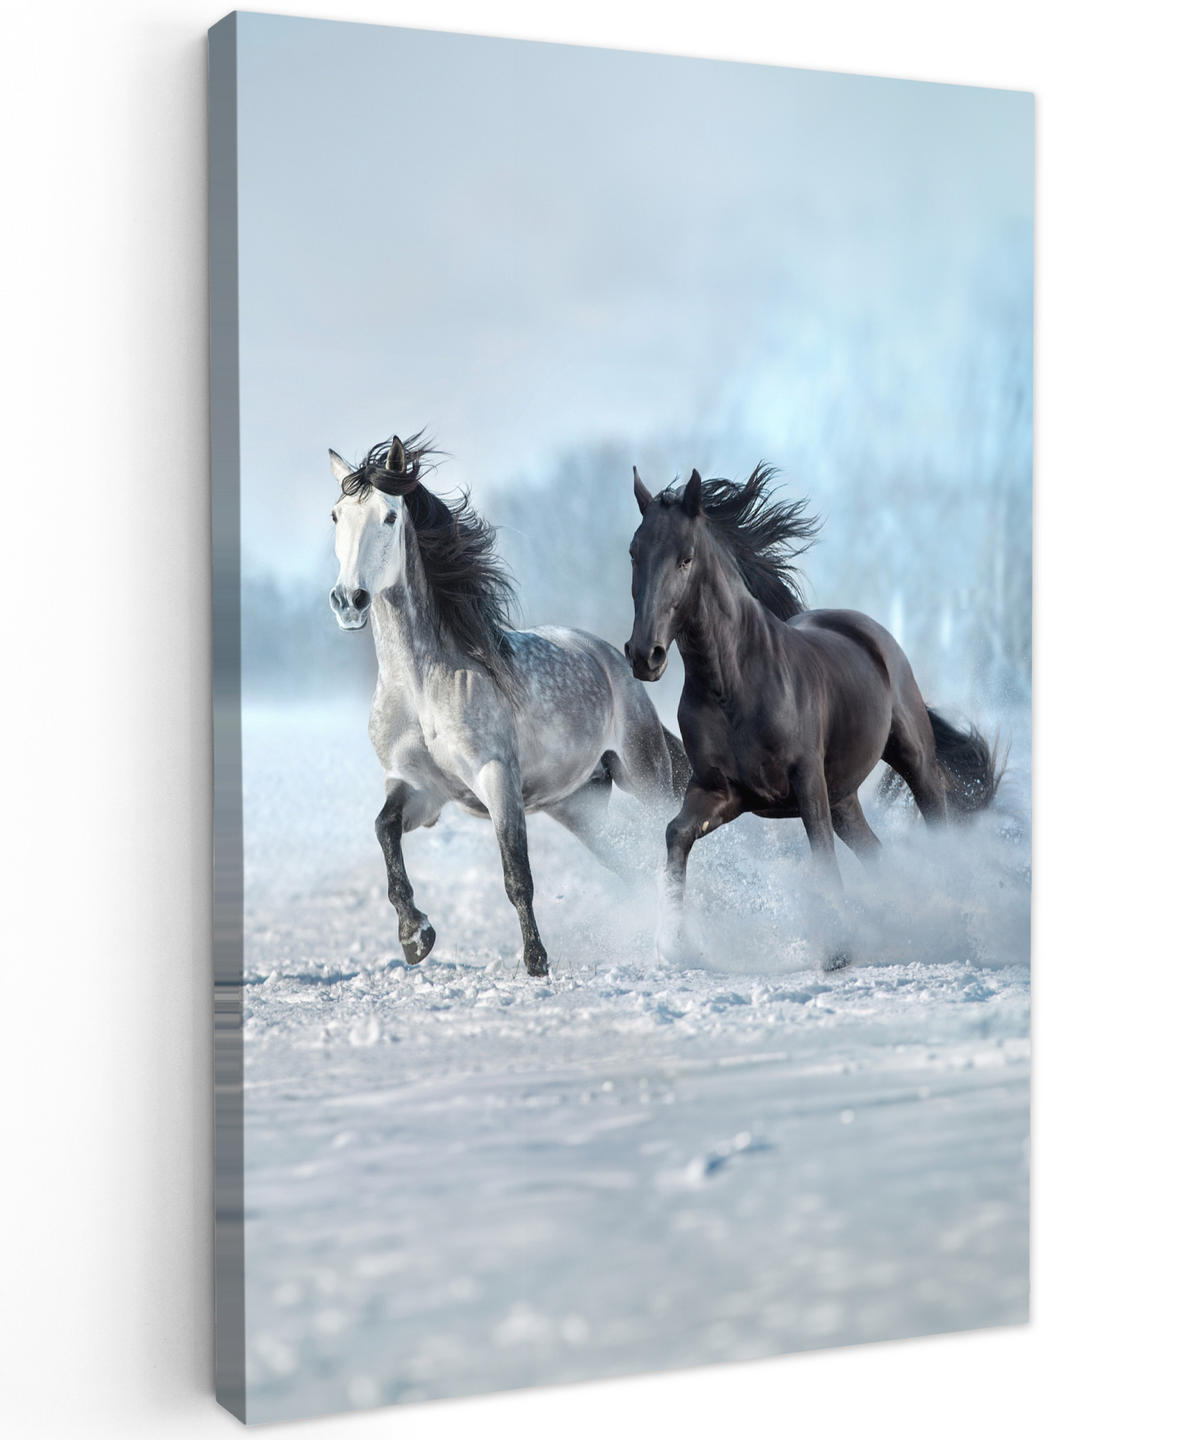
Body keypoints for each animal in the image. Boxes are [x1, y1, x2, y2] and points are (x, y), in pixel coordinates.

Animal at [328, 433, 687, 977]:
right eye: (336, 515)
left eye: (389, 516)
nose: (349, 600)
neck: (420, 686)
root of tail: (612, 656)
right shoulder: (419, 788)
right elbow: (384, 830)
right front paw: (415, 935)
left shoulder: (497, 778)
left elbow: (517, 874)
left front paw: (536, 963)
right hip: (578, 805)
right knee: (632, 863)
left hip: (644, 776)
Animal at [624, 462, 1001, 970]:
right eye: (634, 553)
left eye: (686, 558)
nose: (645, 655)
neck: (733, 687)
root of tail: (871, 632)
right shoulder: (722, 791)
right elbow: (676, 834)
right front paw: (673, 945)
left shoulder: (805, 782)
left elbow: (820, 854)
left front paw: (838, 950)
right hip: (844, 797)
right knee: (876, 853)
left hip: (911, 760)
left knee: (936, 823)